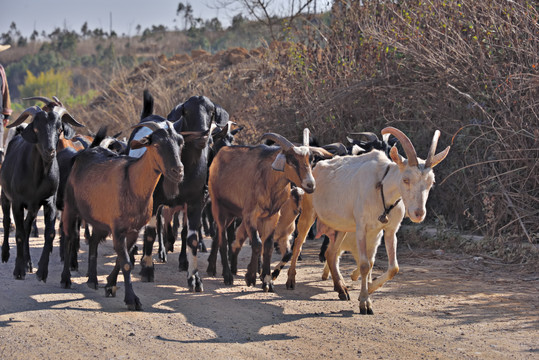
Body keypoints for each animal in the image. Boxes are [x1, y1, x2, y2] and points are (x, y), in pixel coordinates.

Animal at [0, 97, 84, 280]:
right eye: (37, 128)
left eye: (59, 129)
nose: (50, 151)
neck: (36, 177)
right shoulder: (17, 202)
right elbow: (18, 234)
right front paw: (19, 270)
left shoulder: (48, 202)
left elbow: (49, 233)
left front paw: (42, 271)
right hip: (5, 196)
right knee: (8, 222)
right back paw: (6, 255)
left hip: (33, 207)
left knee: (27, 226)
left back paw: (28, 263)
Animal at [286, 128, 452, 314]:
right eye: (406, 179)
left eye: (431, 181)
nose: (418, 214)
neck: (381, 187)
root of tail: (315, 168)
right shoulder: (362, 228)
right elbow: (365, 264)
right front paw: (365, 303)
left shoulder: (390, 230)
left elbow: (393, 268)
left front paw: (368, 289)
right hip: (308, 213)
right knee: (299, 242)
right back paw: (291, 280)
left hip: (342, 226)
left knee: (331, 253)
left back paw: (341, 289)